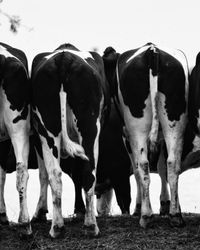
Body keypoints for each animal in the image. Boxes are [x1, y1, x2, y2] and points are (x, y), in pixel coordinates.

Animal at [30, 43, 110, 238]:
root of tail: (64, 57)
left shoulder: (36, 136)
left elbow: (46, 174)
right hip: (90, 127)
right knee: (89, 172)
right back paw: (90, 225)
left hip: (48, 129)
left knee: (55, 175)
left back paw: (57, 227)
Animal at [102, 43, 190, 229]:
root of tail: (152, 50)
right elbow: (163, 167)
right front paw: (167, 205)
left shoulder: (126, 135)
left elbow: (136, 170)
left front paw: (139, 207)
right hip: (175, 121)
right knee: (173, 163)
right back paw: (175, 216)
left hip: (137, 126)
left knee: (142, 165)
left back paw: (146, 216)